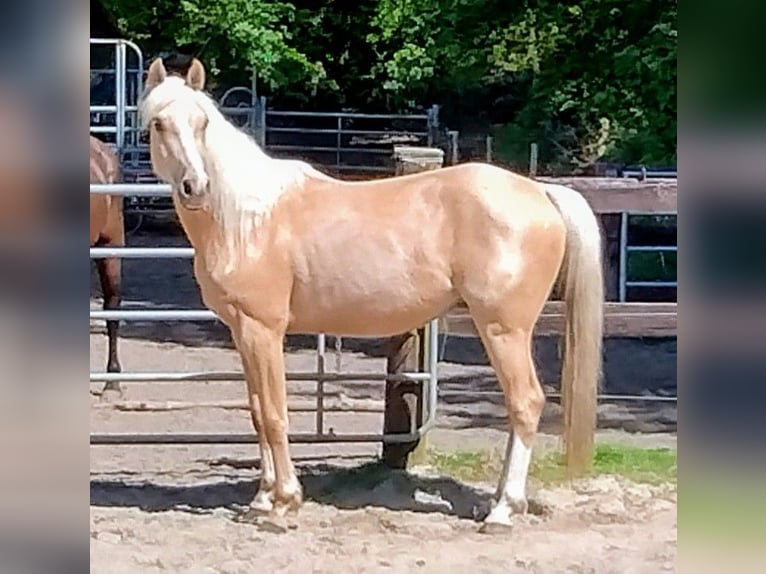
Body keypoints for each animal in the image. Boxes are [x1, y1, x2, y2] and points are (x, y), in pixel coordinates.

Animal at [138, 57, 608, 532]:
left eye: (202, 123)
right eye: (158, 124)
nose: (196, 186)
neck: (247, 219)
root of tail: (540, 191)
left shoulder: (264, 330)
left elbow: (274, 414)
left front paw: (285, 502)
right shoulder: (242, 332)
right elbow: (256, 411)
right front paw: (263, 499)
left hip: (503, 329)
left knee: (525, 402)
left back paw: (502, 510)